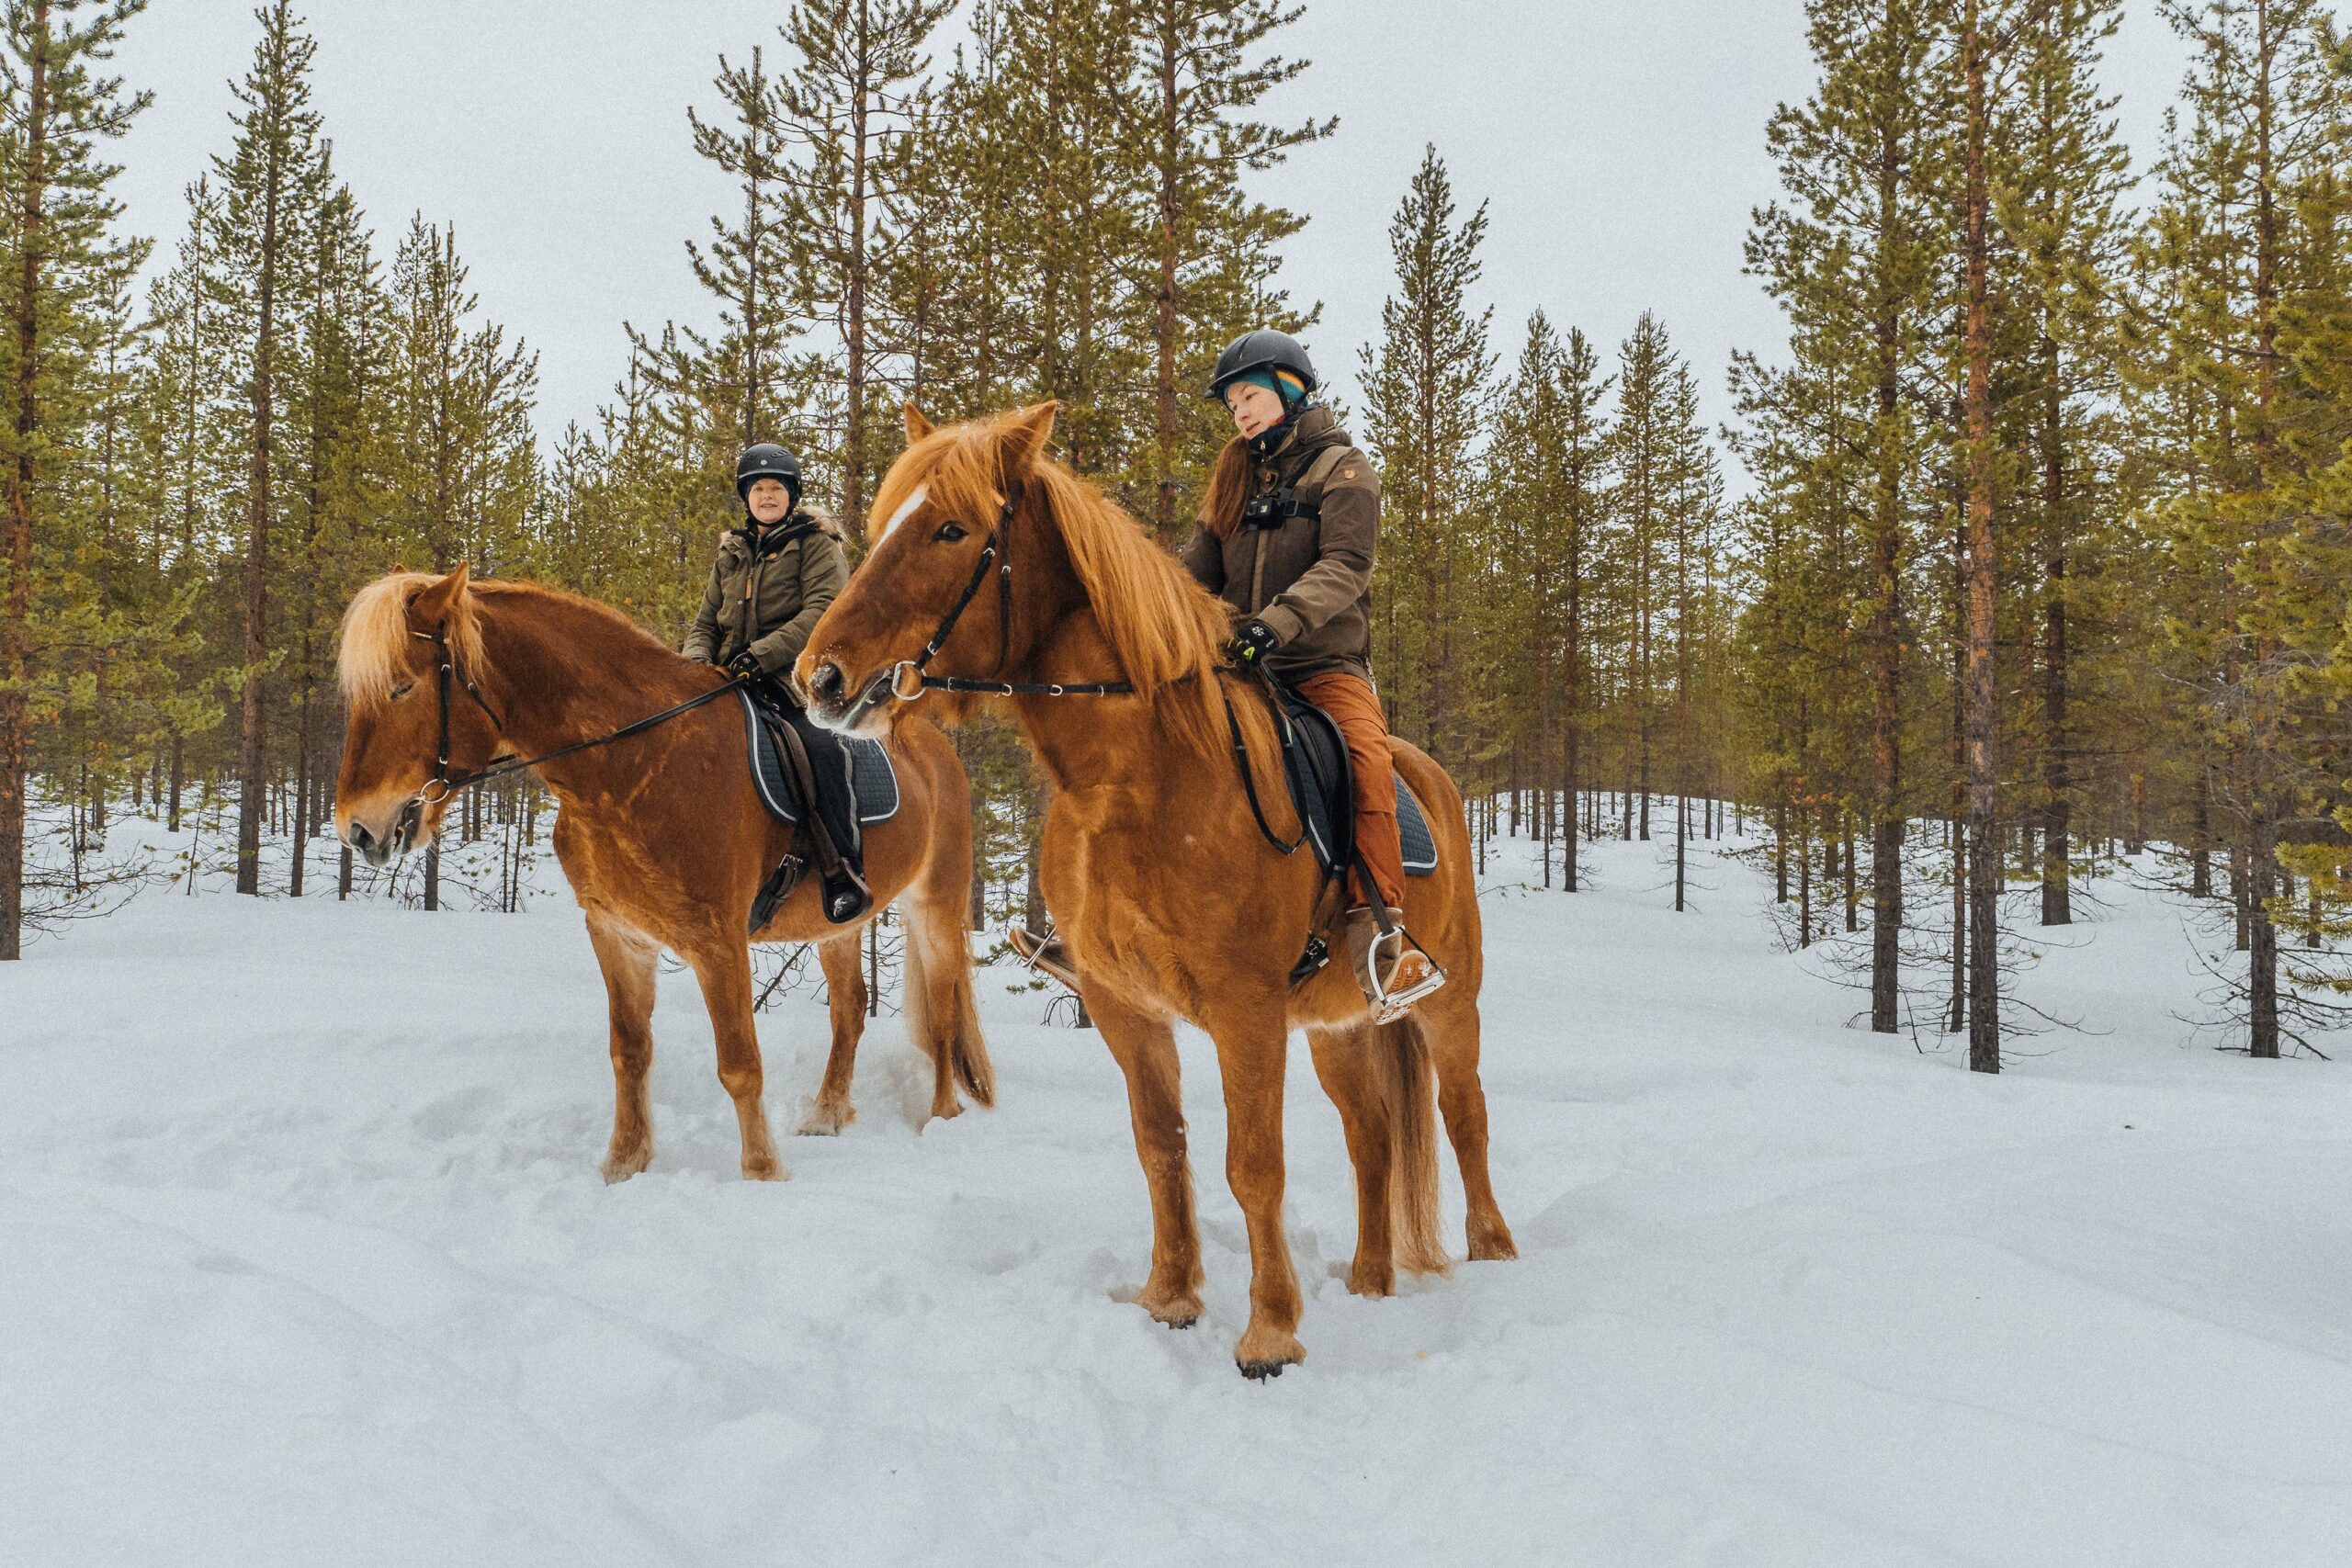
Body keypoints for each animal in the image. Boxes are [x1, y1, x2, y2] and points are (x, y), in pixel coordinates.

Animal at [332, 564, 994, 1183]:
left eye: (402, 687)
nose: (356, 828)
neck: (640, 763)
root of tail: (938, 751)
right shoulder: (617, 934)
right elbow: (630, 1052)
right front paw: (624, 1163)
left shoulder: (718, 941)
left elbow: (739, 1063)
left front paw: (762, 1172)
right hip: (839, 925)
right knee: (851, 1009)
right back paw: (827, 1115)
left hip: (935, 906)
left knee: (941, 1014)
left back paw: (940, 1117)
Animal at [795, 401, 1514, 1377]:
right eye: (881, 526)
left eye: (950, 529)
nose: (822, 677)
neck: (1140, 784)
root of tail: (1428, 773)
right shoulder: (1124, 1004)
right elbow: (1161, 1146)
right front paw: (1171, 1298)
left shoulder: (1246, 1010)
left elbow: (1254, 1163)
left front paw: (1269, 1333)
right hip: (1336, 1025)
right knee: (1371, 1137)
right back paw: (1370, 1279)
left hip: (1448, 1003)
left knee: (1463, 1114)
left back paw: (1493, 1252)